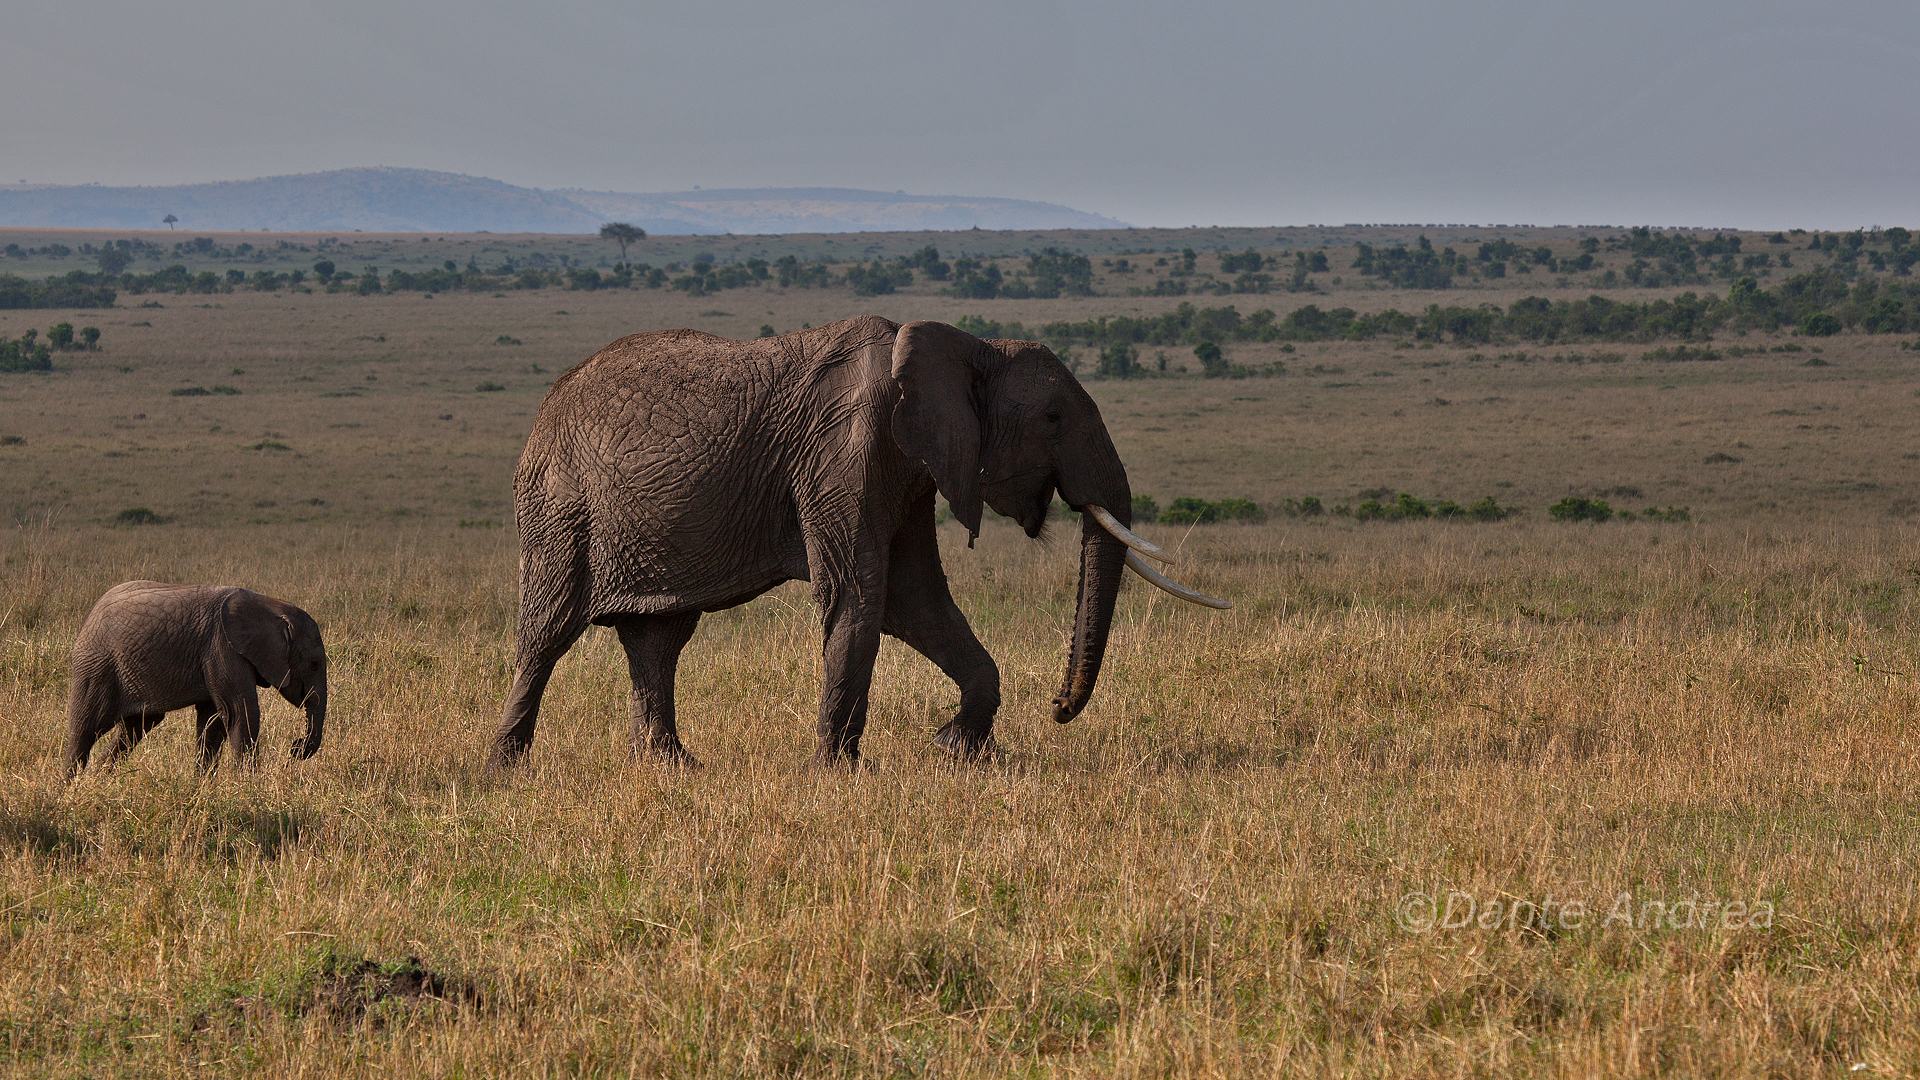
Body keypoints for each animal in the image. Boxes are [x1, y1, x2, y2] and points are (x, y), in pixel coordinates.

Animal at [65, 581, 328, 775]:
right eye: (314, 664)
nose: (295, 748)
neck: (271, 606)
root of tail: (90, 615)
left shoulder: (215, 653)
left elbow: (212, 721)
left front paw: (202, 785)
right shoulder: (222, 647)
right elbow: (239, 711)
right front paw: (249, 787)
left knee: (134, 728)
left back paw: (100, 780)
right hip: (97, 666)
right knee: (86, 728)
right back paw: (70, 788)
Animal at [493, 315, 1227, 768]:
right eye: (1051, 417)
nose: (1058, 708)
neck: (963, 345)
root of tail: (542, 411)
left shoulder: (909, 469)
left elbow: (914, 599)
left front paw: (952, 750)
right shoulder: (846, 454)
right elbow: (861, 591)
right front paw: (837, 772)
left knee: (659, 638)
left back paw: (674, 769)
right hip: (559, 506)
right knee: (549, 633)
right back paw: (507, 768)